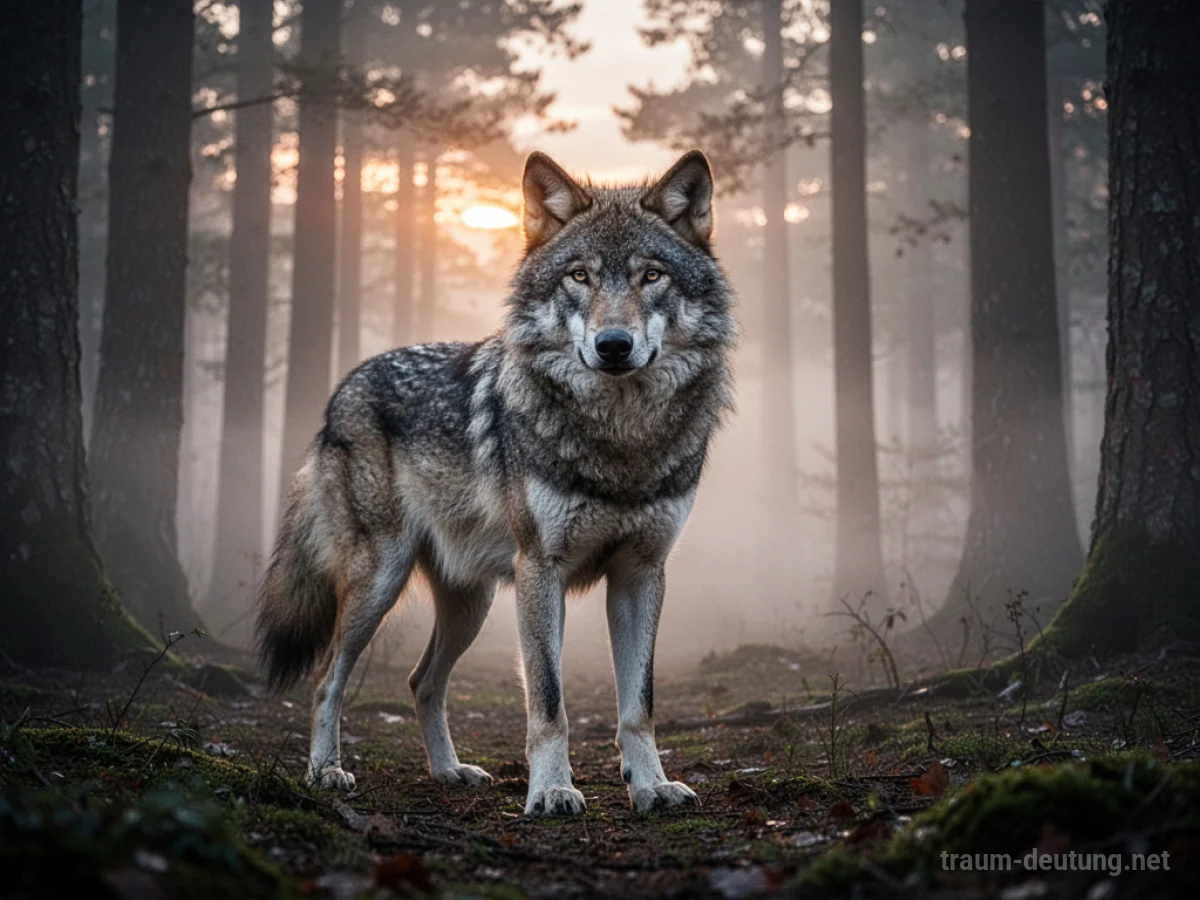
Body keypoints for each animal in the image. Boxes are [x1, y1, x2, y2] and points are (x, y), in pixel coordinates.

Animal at [256, 150, 736, 816]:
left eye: (651, 276)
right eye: (579, 277)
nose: (614, 345)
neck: (620, 439)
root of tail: (343, 389)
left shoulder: (641, 574)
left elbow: (638, 704)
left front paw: (652, 785)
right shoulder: (540, 571)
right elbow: (549, 703)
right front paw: (553, 790)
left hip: (471, 602)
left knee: (421, 681)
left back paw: (449, 771)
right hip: (379, 582)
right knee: (328, 677)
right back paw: (326, 772)